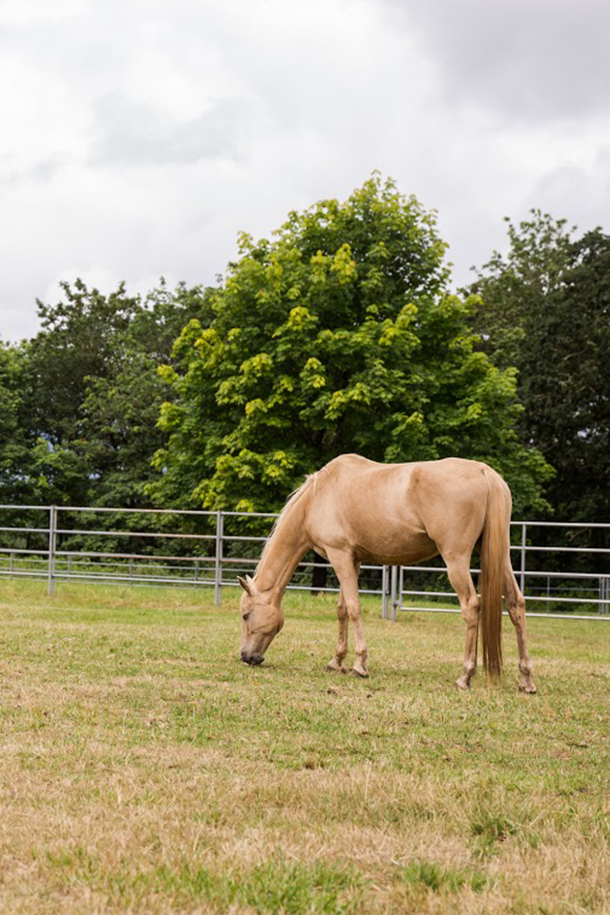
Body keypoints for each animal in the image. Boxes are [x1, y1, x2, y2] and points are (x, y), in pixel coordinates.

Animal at [238, 454, 532, 692]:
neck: (317, 497)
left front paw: (359, 665)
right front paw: (337, 660)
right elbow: (342, 609)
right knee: (516, 604)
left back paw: (465, 676)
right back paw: (526, 680)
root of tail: (485, 472)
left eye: (245, 615)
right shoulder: (352, 559)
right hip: (500, 555)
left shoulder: (339, 555)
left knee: (471, 607)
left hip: (456, 559)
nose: (247, 657)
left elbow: (354, 607)